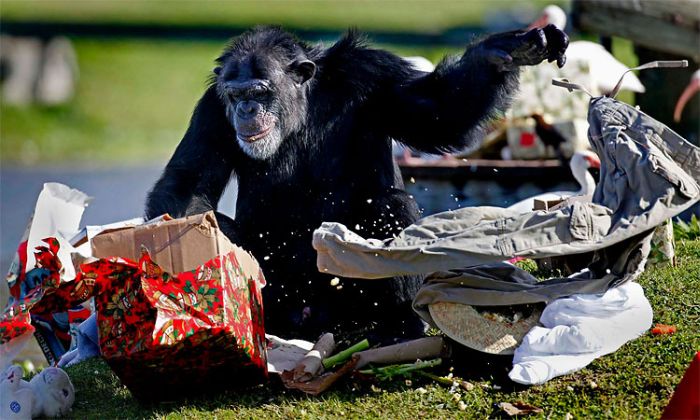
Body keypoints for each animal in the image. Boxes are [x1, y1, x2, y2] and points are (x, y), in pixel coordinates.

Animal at [148, 24, 568, 342]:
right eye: (235, 94)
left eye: (259, 92)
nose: (246, 109)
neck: (303, 103)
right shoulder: (212, 109)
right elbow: (188, 180)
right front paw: (184, 270)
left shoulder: (373, 73)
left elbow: (440, 111)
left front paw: (505, 50)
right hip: (286, 303)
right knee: (223, 226)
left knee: (390, 206)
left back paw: (399, 326)